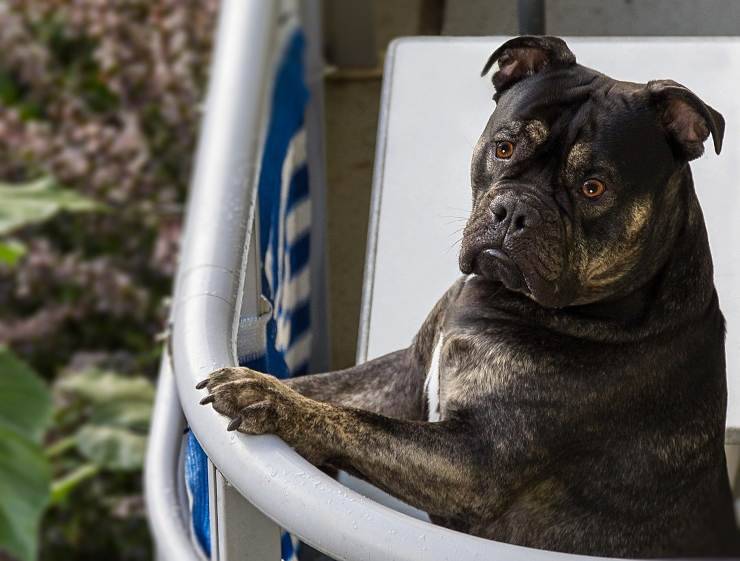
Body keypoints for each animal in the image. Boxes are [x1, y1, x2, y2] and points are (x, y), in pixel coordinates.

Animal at [198, 37, 740, 556]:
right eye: (503, 149)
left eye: (593, 188)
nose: (515, 211)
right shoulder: (403, 377)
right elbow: (329, 389)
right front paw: (266, 383)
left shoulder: (472, 459)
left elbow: (355, 422)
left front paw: (268, 400)